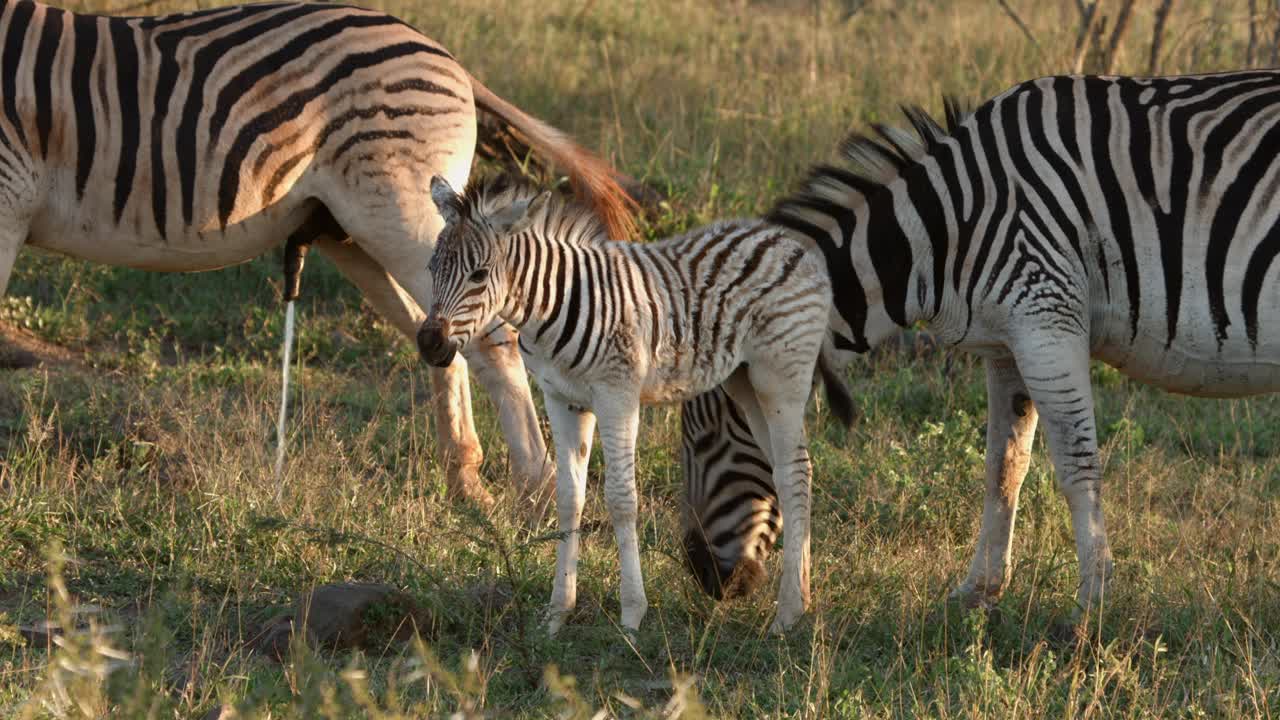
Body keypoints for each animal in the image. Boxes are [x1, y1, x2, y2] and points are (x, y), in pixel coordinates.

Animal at [0, 0, 637, 507]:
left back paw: (535, 490)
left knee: (492, 341)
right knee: (437, 335)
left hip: (400, 214)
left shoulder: (7, 196)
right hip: (351, 231)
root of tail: (447, 56)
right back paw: (467, 481)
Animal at [412, 170, 849, 630]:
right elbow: (569, 499)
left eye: (479, 275)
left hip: (780, 376)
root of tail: (786, 239)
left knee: (794, 470)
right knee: (791, 470)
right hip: (744, 382)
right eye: (431, 268)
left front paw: (632, 614)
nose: (429, 343)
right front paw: (557, 612)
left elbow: (622, 500)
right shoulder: (562, 399)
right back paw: (801, 596)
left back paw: (787, 612)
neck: (554, 308)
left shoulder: (617, 395)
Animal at [686, 68, 1280, 617]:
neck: (944, 227)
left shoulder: (1047, 316)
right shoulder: (1007, 344)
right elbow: (1003, 467)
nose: (701, 576)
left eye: (704, 441)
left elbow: (1077, 467)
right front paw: (978, 593)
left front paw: (1089, 608)